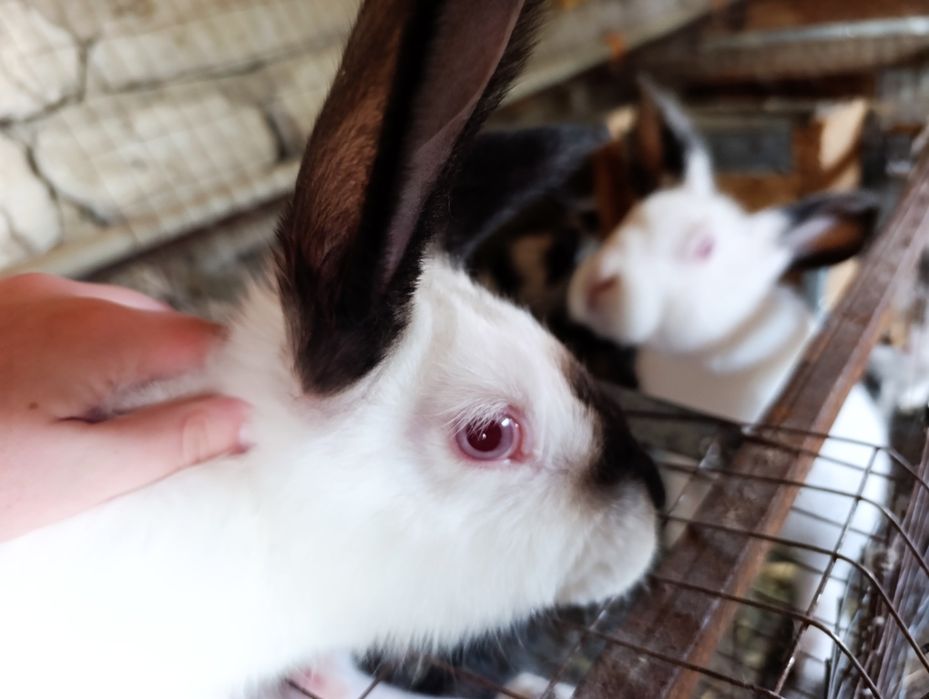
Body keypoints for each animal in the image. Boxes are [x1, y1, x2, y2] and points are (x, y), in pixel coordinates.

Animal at [567, 81, 889, 689]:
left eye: (704, 249)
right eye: (632, 218)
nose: (598, 285)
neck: (698, 361)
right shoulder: (679, 462)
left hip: (834, 531)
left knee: (819, 589)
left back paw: (811, 665)